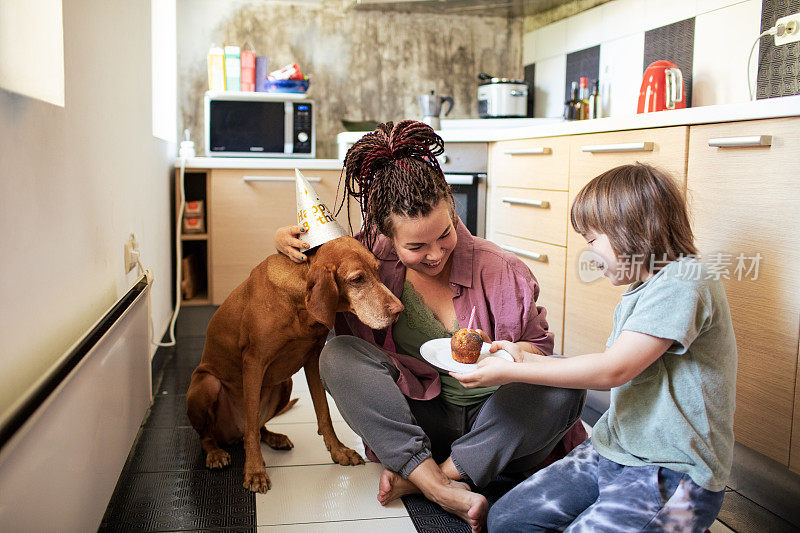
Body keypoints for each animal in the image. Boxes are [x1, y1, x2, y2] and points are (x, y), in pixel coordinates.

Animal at [185, 235, 404, 492]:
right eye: (357, 279)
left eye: (378, 271)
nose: (399, 309)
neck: (300, 301)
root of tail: (230, 435)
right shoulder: (254, 362)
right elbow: (251, 428)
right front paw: (255, 470)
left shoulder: (313, 358)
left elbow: (323, 412)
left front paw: (338, 451)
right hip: (207, 383)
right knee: (212, 434)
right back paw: (215, 453)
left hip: (284, 384)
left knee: (258, 426)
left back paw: (274, 437)